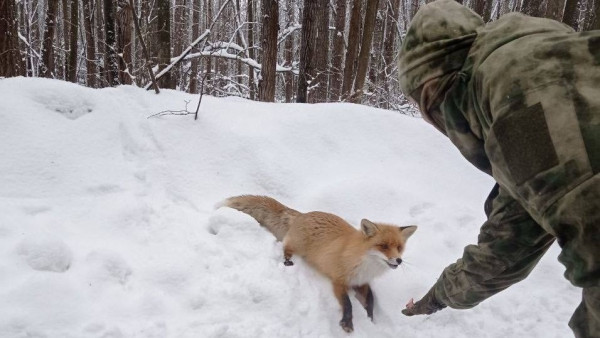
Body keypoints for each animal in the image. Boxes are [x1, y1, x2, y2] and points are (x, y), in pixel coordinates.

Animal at [217, 194, 418, 332]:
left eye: (399, 247)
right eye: (383, 246)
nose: (398, 260)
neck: (365, 264)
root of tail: (303, 214)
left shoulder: (361, 281)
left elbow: (371, 300)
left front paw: (370, 317)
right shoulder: (338, 281)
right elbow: (348, 303)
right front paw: (347, 323)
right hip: (297, 246)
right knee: (285, 247)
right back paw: (287, 261)